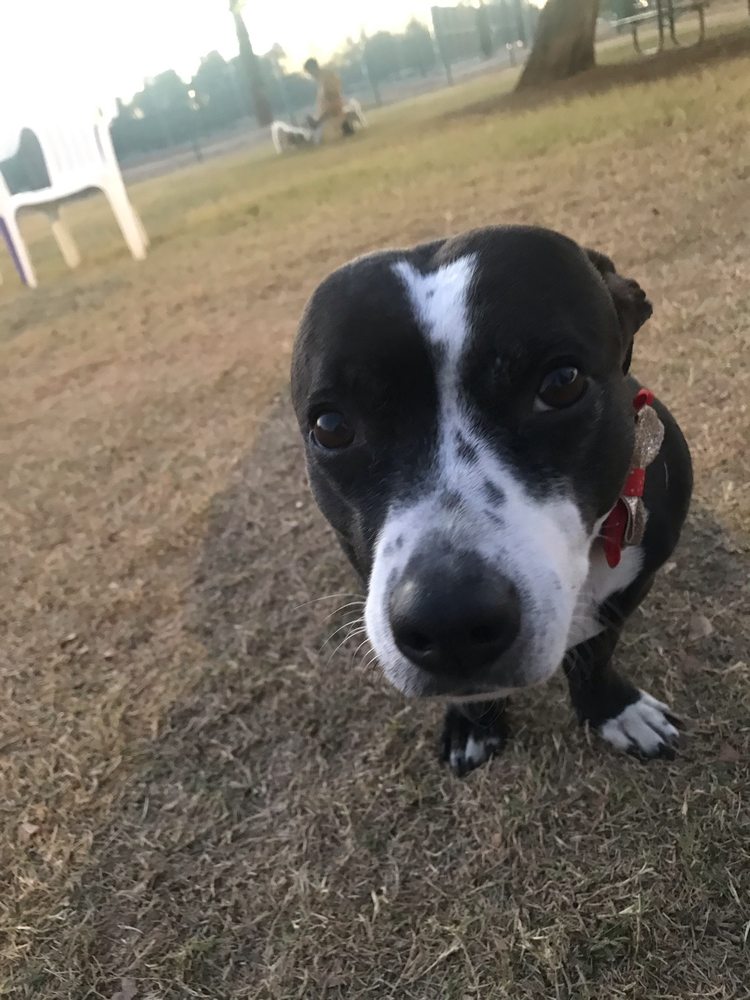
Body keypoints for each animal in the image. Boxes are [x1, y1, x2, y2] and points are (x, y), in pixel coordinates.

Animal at [291, 226, 692, 776]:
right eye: (330, 426)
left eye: (562, 382)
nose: (449, 620)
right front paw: (474, 723)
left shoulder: (634, 581)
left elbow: (596, 652)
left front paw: (613, 709)